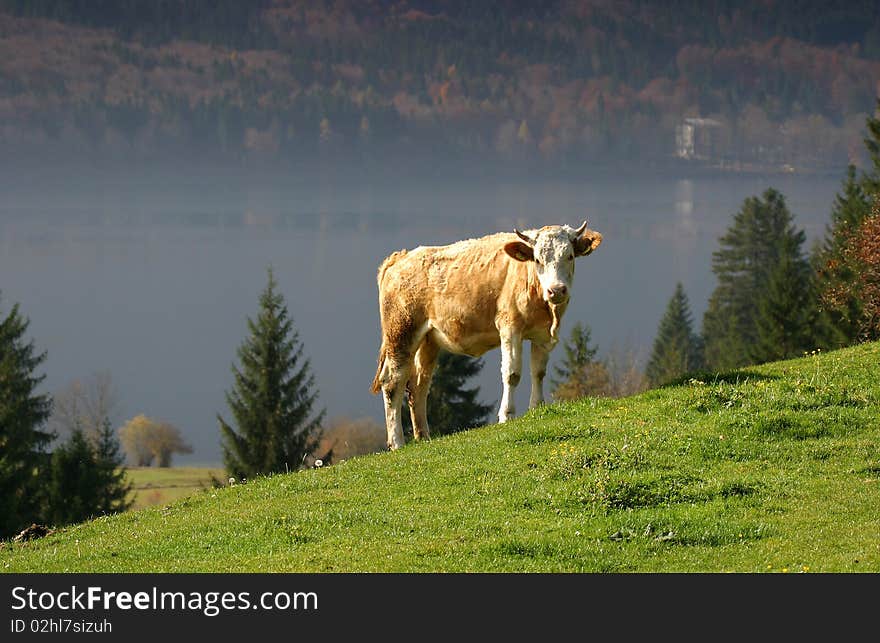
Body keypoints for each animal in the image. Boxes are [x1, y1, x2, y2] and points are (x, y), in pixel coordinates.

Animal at [368, 220, 600, 448]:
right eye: (537, 259)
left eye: (569, 256)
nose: (556, 290)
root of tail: (400, 258)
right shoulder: (509, 327)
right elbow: (512, 373)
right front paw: (507, 415)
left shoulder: (543, 335)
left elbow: (538, 372)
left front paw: (536, 408)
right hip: (400, 334)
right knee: (392, 382)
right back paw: (397, 442)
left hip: (428, 341)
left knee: (418, 385)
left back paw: (424, 436)